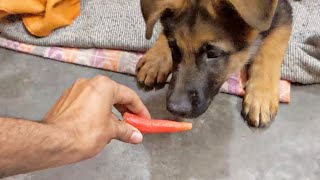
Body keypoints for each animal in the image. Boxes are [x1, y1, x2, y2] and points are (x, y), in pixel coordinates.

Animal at [135, 0, 292, 126]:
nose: (176, 109)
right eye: (173, 48)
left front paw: (261, 96)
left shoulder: (283, 11)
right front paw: (157, 58)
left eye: (213, 54)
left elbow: (270, 49)